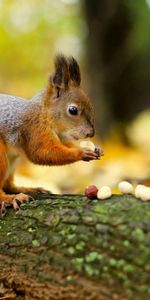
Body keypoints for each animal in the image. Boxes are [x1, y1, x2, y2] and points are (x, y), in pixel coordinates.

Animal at [0, 53, 103, 213]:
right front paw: (82, 153)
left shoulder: (63, 136)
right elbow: (42, 153)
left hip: (12, 162)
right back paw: (10, 198)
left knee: (8, 185)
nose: (90, 134)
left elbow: (66, 145)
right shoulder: (34, 128)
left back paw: (28, 189)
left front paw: (96, 148)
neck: (45, 114)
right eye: (73, 110)